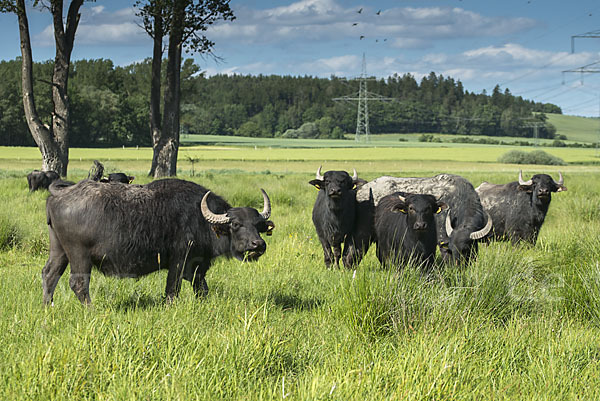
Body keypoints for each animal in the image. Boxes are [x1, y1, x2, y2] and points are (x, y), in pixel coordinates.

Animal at [43, 178, 276, 304]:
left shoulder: (197, 266)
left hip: (59, 250)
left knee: (49, 275)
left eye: (258, 225)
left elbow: (202, 288)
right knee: (78, 284)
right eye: (236, 224)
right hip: (79, 255)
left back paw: (48, 307)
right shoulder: (178, 260)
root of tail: (61, 193)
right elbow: (172, 290)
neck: (200, 219)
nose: (258, 245)